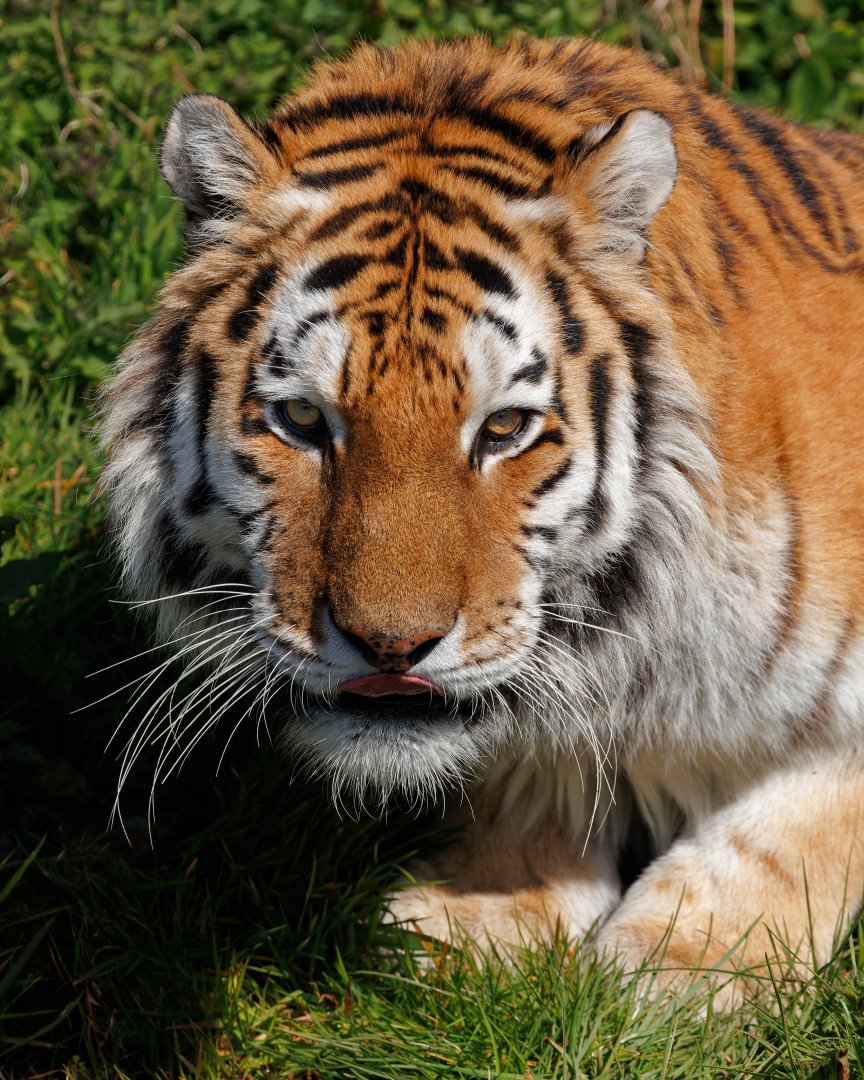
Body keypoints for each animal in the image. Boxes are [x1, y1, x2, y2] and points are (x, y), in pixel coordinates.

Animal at [102, 35, 864, 1002]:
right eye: (304, 419)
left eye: (503, 429)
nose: (390, 648)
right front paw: (481, 916)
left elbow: (790, 823)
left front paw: (680, 970)